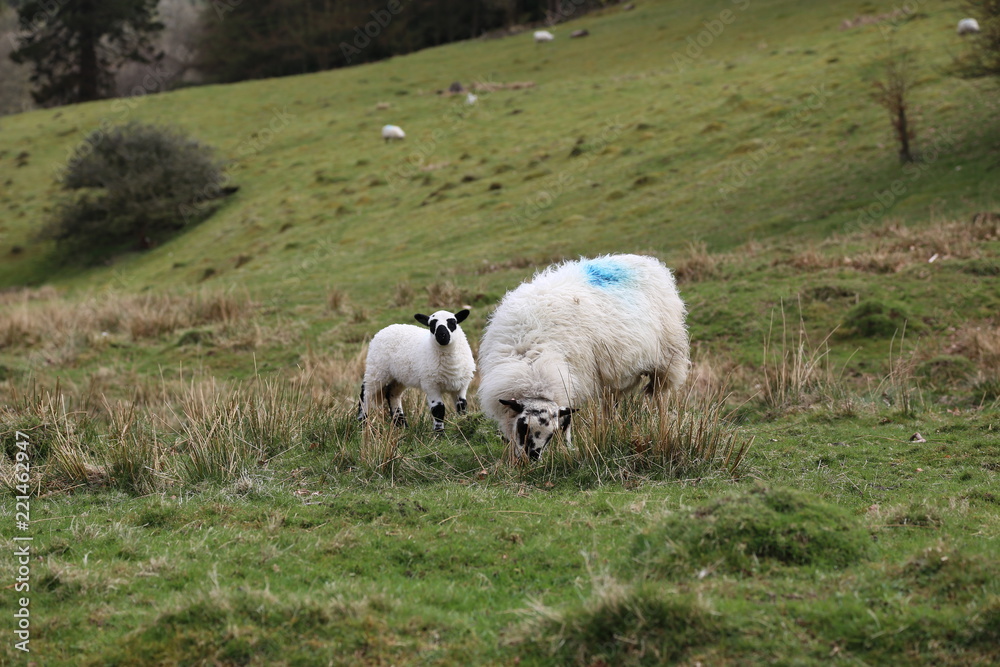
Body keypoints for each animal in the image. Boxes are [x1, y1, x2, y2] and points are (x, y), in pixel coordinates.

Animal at [477, 254, 690, 460]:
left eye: (551, 434)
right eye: (523, 427)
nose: (531, 459)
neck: (531, 363)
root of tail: (648, 261)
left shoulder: (572, 379)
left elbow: (568, 419)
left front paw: (568, 448)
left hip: (667, 358)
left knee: (661, 396)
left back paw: (661, 424)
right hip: (614, 372)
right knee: (610, 404)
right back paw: (608, 429)